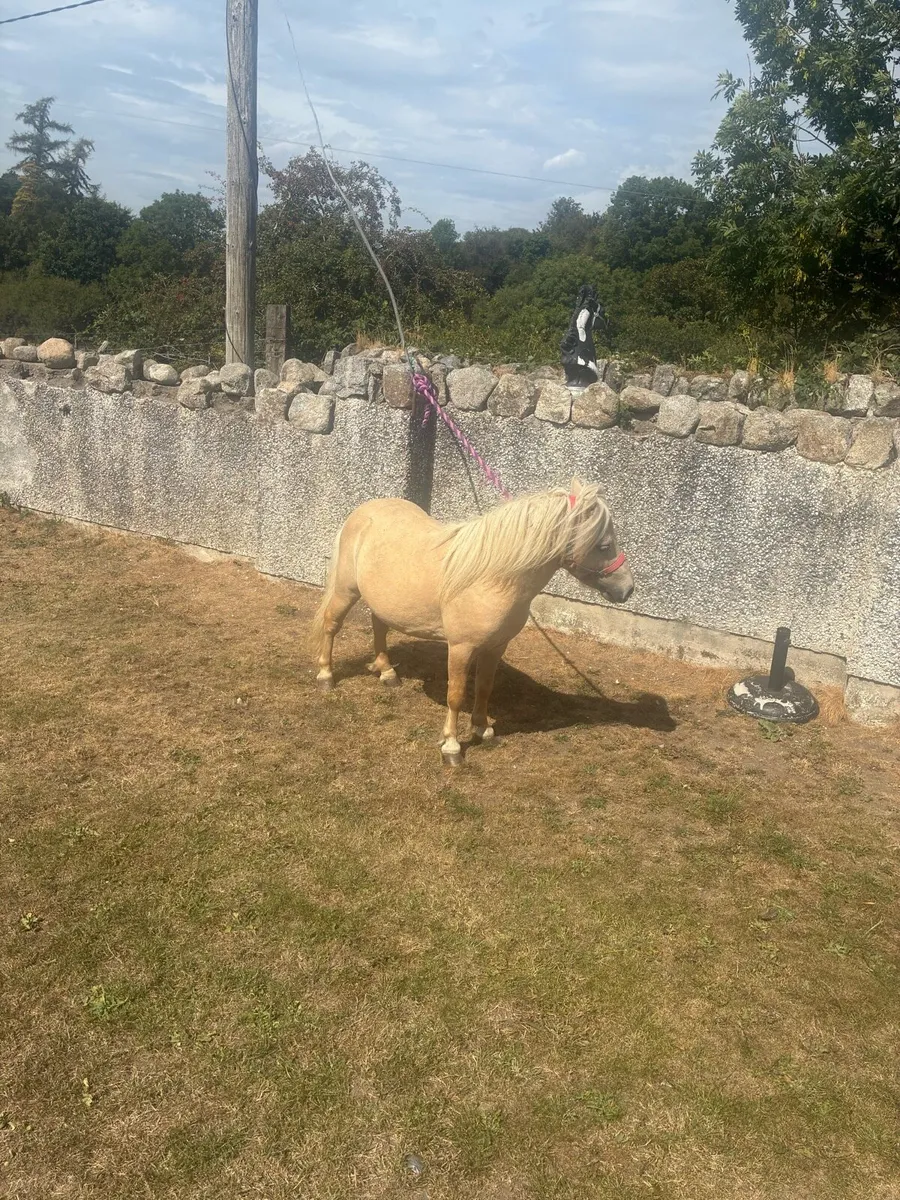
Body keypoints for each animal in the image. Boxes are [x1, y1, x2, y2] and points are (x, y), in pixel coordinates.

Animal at [311, 477, 634, 765]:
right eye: (604, 545)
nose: (627, 589)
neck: (491, 578)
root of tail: (364, 511)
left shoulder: (496, 647)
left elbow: (484, 687)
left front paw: (482, 729)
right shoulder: (460, 648)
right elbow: (455, 695)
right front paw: (452, 748)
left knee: (379, 627)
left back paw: (387, 673)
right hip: (346, 591)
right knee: (331, 625)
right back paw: (326, 676)